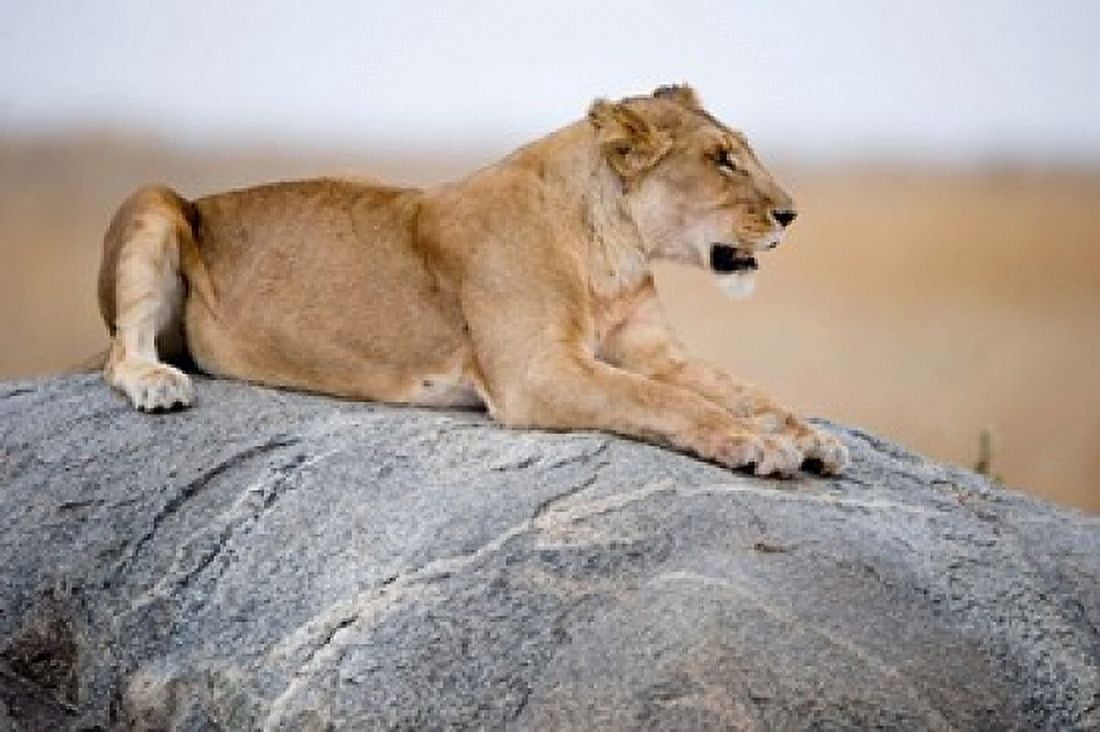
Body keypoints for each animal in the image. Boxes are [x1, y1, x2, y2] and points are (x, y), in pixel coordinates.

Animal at [97, 84, 848, 476]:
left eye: (741, 151)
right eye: (721, 160)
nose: (791, 213)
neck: (617, 253)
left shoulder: (652, 349)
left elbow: (740, 390)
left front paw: (809, 437)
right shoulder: (535, 371)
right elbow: (668, 402)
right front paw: (755, 444)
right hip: (154, 199)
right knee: (117, 355)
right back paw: (159, 382)